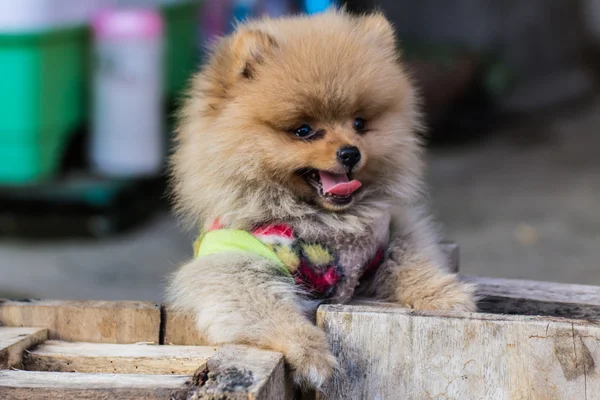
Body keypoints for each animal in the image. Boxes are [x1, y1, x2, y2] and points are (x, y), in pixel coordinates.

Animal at [166, 8, 476, 390]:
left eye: (359, 123)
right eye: (303, 130)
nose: (350, 153)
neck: (327, 224)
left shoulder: (394, 230)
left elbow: (414, 261)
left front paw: (444, 296)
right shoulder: (233, 263)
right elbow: (268, 309)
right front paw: (310, 352)